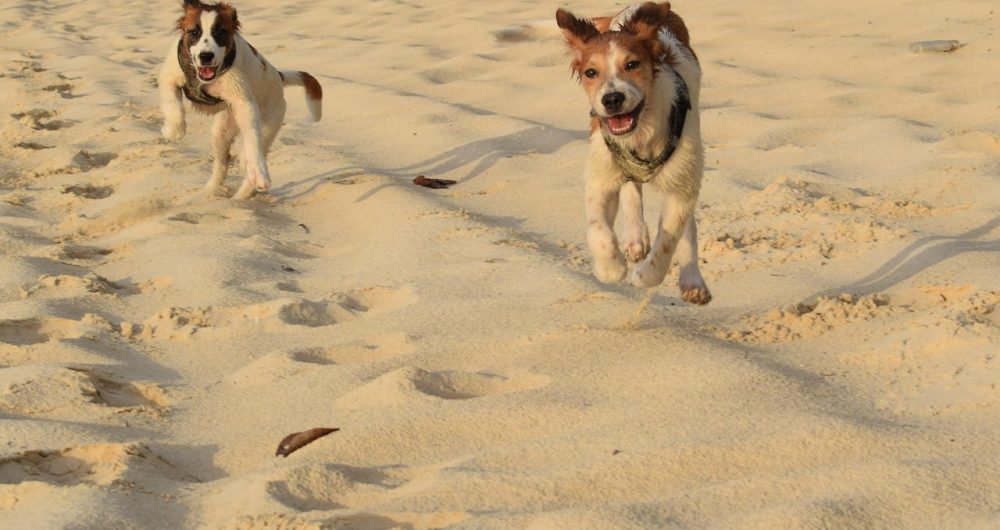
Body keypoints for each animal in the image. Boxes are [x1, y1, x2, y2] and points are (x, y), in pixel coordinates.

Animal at [556, 2, 712, 304]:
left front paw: (646, 276)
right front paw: (611, 269)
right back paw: (635, 238)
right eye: (591, 72)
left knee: (686, 224)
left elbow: (669, 238)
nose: (612, 99)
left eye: (632, 65)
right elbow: (598, 230)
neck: (640, 134)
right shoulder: (601, 174)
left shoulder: (681, 185)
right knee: (630, 188)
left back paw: (692, 281)